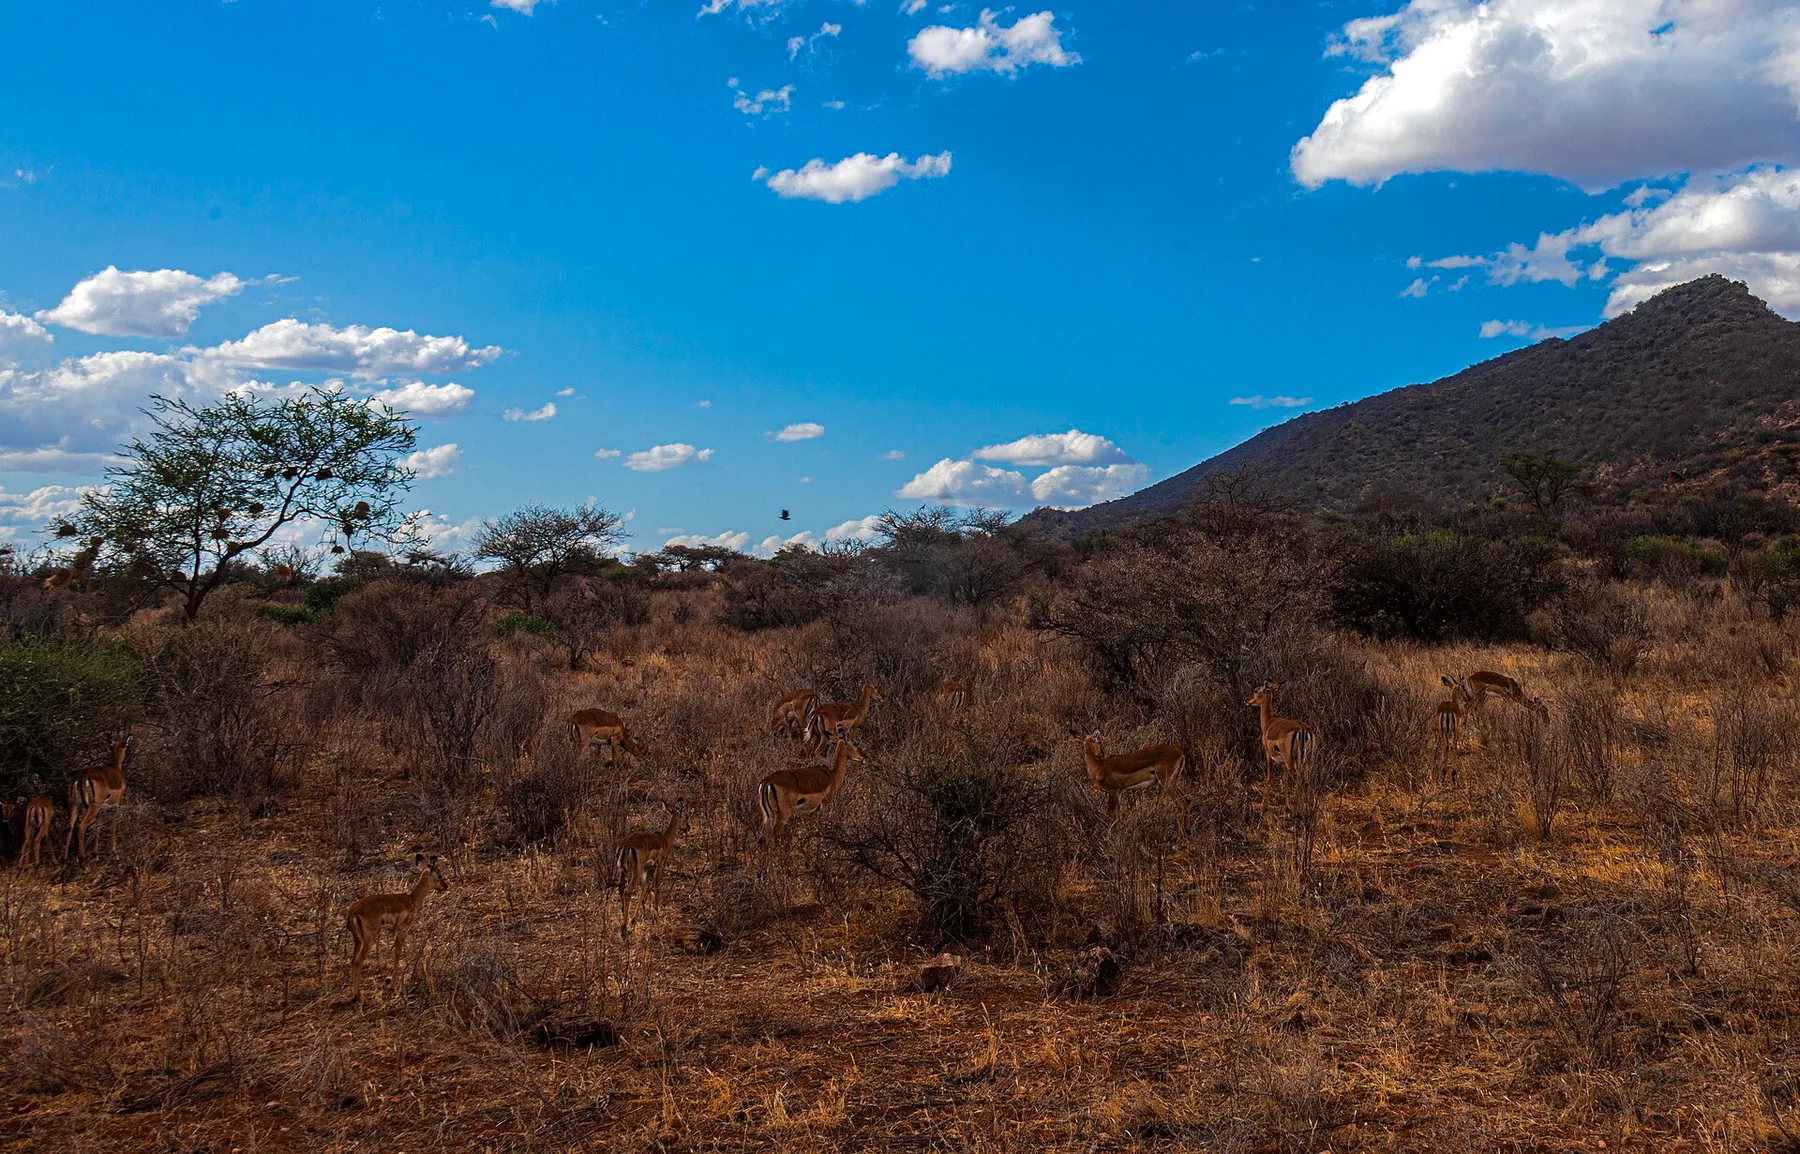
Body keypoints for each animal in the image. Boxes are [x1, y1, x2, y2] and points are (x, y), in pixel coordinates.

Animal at [346, 853, 450, 995]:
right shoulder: (401, 929)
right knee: (357, 962)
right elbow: (398, 953)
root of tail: (353, 911)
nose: (445, 886)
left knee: (352, 961)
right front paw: (393, 985)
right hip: (369, 938)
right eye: (439, 875)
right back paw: (357, 996)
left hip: (357, 939)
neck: (412, 900)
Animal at [616, 799, 690, 938]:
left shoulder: (646, 870)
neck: (664, 840)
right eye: (685, 816)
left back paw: (624, 925)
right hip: (636, 872)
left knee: (621, 890)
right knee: (628, 892)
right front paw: (656, 916)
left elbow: (644, 889)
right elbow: (657, 887)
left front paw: (634, 920)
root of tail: (626, 845)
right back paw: (624, 929)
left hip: (623, 872)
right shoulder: (659, 866)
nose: (688, 827)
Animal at [757, 739, 865, 870]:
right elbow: (820, 830)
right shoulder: (824, 806)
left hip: (767, 816)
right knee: (768, 840)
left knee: (762, 840)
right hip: (783, 815)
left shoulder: (812, 811)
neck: (832, 776)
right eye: (855, 743)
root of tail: (767, 781)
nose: (864, 757)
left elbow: (810, 832)